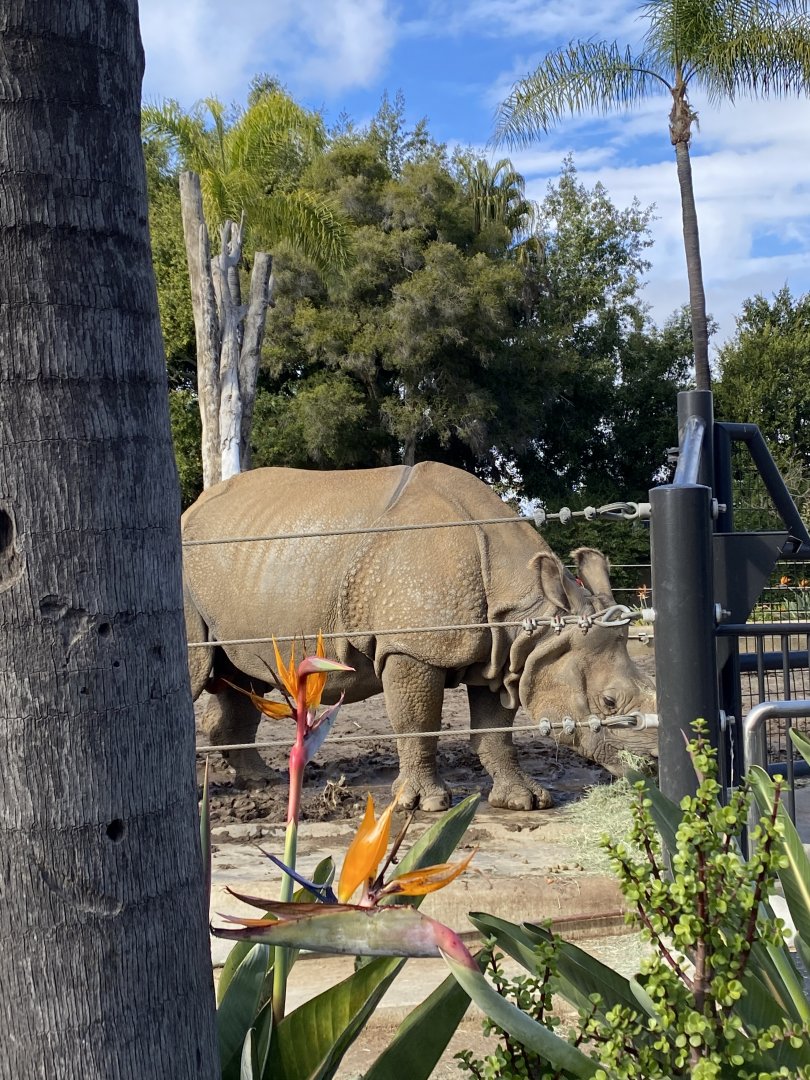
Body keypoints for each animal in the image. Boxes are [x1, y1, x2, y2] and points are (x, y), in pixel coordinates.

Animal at [182, 462, 656, 810]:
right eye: (609, 702)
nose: (651, 765)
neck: (531, 618)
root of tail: (193, 508)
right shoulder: (411, 649)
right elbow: (417, 723)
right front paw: (425, 805)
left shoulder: (499, 651)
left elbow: (494, 731)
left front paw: (524, 801)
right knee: (196, 670)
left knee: (241, 677)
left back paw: (260, 782)